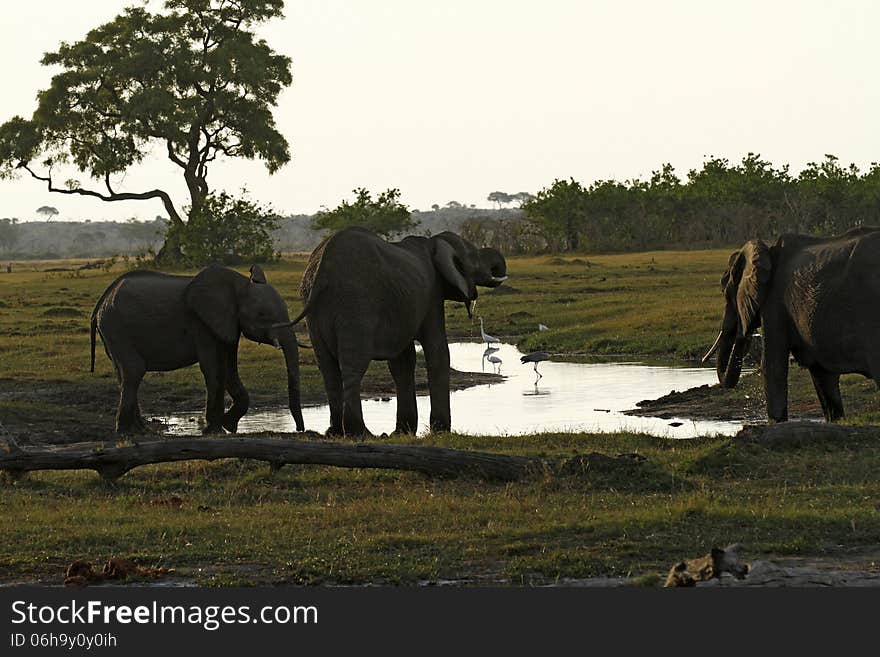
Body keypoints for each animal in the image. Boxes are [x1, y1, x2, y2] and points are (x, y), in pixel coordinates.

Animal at [92, 264, 306, 434]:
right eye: (262, 315)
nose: (300, 430)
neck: (239, 284)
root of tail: (102, 300)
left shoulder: (229, 324)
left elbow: (228, 369)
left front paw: (227, 426)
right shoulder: (201, 323)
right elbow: (214, 369)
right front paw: (215, 430)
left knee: (123, 374)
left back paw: (141, 430)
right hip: (116, 327)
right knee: (134, 371)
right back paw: (127, 432)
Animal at [292, 226, 506, 436]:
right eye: (474, 256)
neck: (435, 243)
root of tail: (322, 267)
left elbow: (403, 361)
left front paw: (404, 431)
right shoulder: (432, 295)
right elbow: (437, 350)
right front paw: (440, 431)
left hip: (314, 307)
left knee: (328, 369)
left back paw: (335, 432)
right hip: (355, 304)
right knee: (353, 365)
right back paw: (360, 433)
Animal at [700, 226, 880, 420]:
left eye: (725, 293)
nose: (744, 331)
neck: (767, 252)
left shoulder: (774, 302)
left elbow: (772, 366)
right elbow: (822, 374)